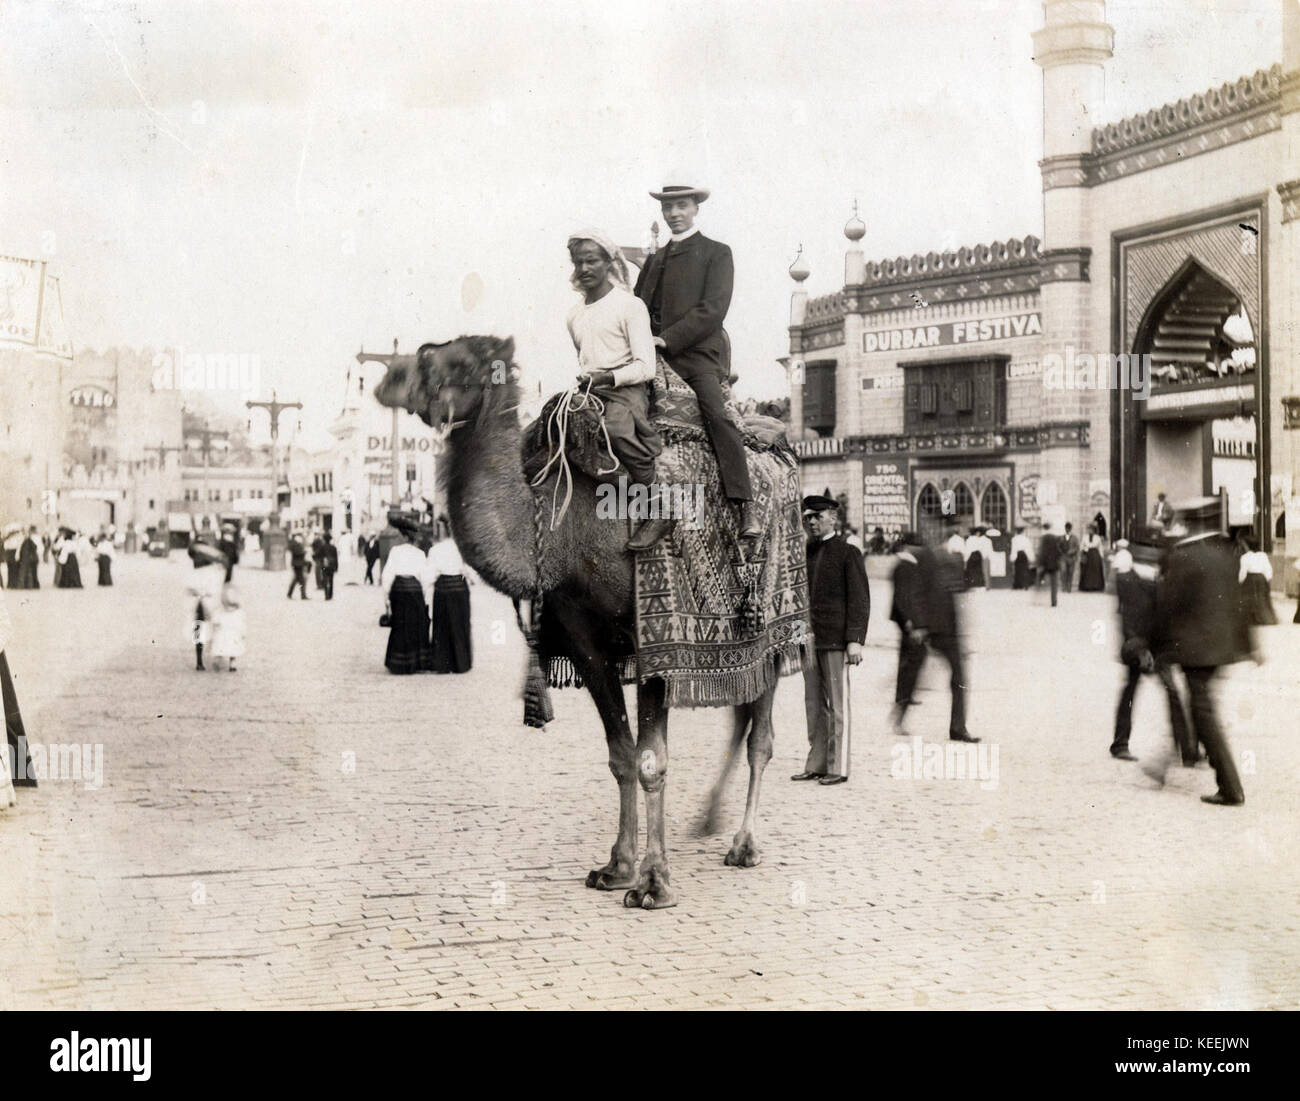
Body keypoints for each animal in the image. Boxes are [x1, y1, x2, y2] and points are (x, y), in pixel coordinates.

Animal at [377, 337, 795, 915]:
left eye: (455, 361)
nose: (386, 381)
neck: (565, 528)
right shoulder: (585, 641)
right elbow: (621, 756)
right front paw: (616, 867)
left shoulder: (653, 643)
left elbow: (651, 761)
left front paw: (654, 883)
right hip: (740, 642)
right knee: (741, 712)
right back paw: (709, 819)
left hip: (776, 629)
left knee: (762, 736)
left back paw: (744, 844)